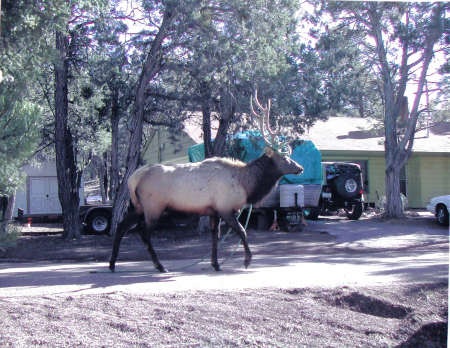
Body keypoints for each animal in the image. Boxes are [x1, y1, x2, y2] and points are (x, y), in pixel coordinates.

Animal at [109, 91, 304, 274]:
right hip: (153, 207)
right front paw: (247, 261)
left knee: (121, 226)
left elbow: (215, 237)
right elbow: (242, 231)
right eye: (283, 157)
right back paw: (160, 266)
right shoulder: (226, 208)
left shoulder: (213, 211)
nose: (300, 168)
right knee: (144, 234)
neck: (246, 185)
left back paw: (112, 264)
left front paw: (215, 264)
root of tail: (133, 179)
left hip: (138, 207)